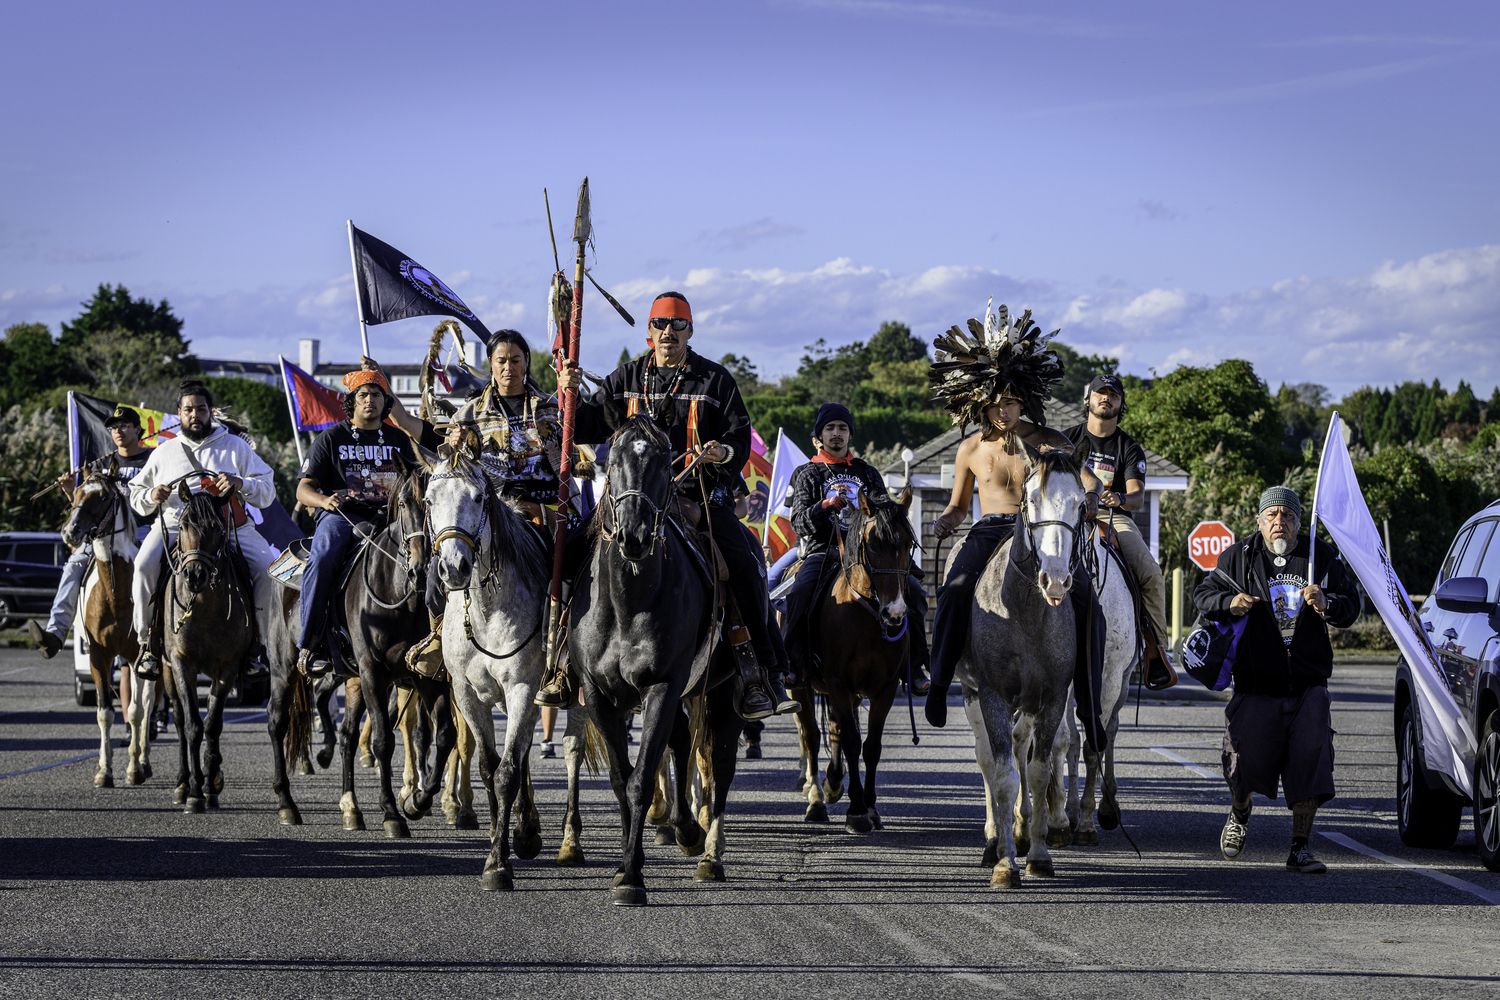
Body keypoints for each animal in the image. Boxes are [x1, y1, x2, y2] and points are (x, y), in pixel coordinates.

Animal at [423, 437, 591, 893]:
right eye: (429, 499)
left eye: (479, 497)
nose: (454, 568)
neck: (487, 610)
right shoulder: (467, 695)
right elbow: (489, 768)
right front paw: (507, 843)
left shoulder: (523, 689)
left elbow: (507, 774)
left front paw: (498, 865)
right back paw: (527, 830)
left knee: (572, 749)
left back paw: (569, 842)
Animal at [567, 413, 744, 905]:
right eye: (613, 459)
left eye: (666, 463)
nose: (634, 536)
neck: (629, 601)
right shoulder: (598, 694)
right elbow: (620, 778)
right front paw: (629, 864)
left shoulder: (663, 685)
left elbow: (642, 778)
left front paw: (631, 876)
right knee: (683, 741)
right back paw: (685, 830)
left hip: (723, 691)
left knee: (719, 764)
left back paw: (709, 853)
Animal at [792, 488, 918, 833]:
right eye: (873, 544)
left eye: (908, 545)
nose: (895, 613)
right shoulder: (839, 684)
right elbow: (850, 741)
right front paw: (858, 811)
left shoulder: (885, 688)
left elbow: (871, 746)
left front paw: (871, 808)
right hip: (801, 687)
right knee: (812, 736)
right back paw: (817, 800)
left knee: (833, 728)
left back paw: (834, 783)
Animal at [960, 449, 1092, 887]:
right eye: (1031, 499)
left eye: (1081, 504)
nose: (1056, 580)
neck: (1026, 609)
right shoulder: (992, 696)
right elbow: (1002, 775)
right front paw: (1004, 863)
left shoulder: (1051, 699)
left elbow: (1037, 772)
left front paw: (1037, 854)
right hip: (972, 696)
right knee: (987, 757)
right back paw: (993, 839)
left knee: (1021, 750)